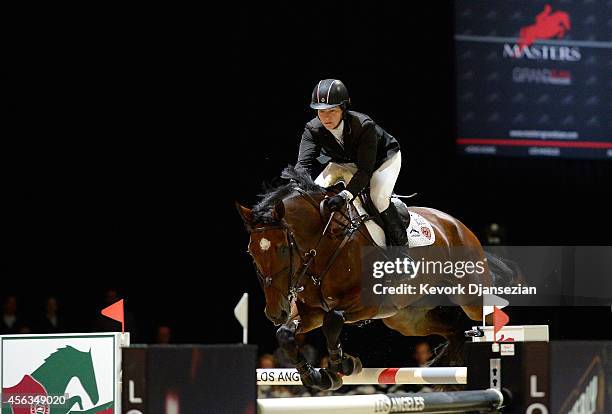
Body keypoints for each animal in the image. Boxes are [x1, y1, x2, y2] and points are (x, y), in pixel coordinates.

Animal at [237, 166, 520, 392]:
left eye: (282, 249)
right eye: (251, 252)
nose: (276, 313)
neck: (323, 244)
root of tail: (457, 225)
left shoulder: (367, 304)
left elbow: (333, 320)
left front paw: (343, 364)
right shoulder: (312, 311)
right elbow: (286, 334)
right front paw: (318, 376)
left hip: (470, 296)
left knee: (488, 314)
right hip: (408, 319)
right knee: (455, 330)